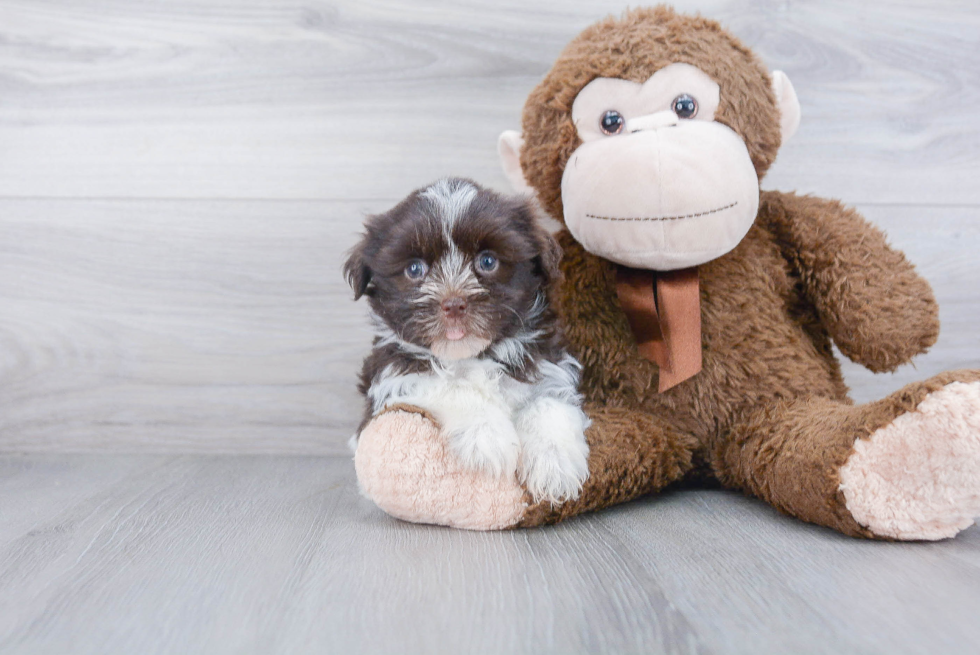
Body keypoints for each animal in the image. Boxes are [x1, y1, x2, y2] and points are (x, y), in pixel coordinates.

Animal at [344, 177, 588, 504]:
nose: (454, 304)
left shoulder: (549, 364)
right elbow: (451, 385)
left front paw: (555, 466)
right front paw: (486, 437)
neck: (472, 355)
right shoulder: (394, 374)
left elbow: (549, 402)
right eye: (415, 269)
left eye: (487, 261)